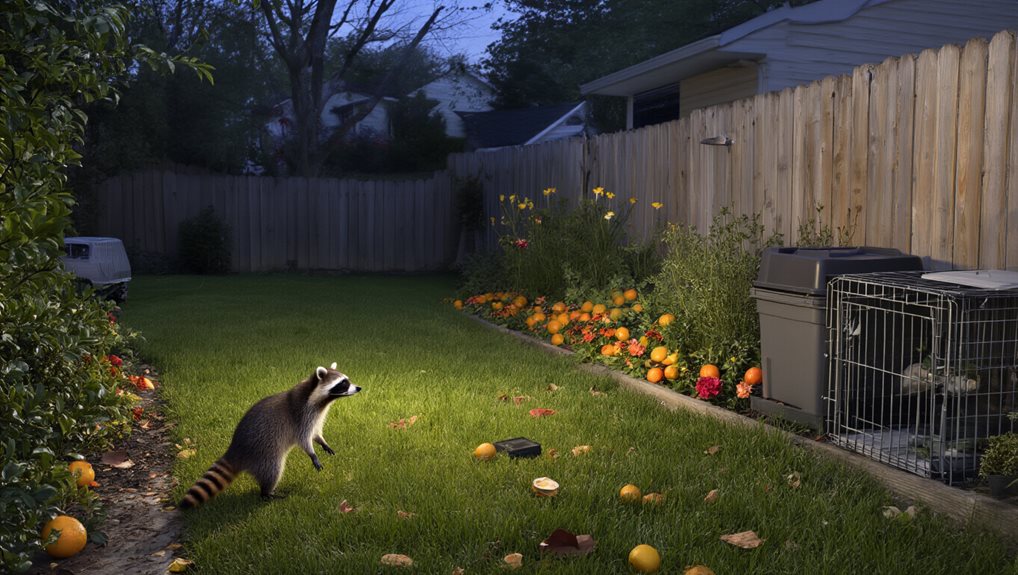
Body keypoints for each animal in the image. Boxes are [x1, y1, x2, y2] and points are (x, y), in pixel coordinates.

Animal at [179, 363, 360, 509]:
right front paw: (312, 454)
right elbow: (303, 439)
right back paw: (266, 493)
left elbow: (315, 433)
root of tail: (235, 449)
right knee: (272, 470)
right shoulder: (301, 415)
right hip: (263, 453)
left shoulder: (316, 417)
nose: (359, 388)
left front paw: (323, 443)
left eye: (347, 380)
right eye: (343, 383)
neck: (318, 397)